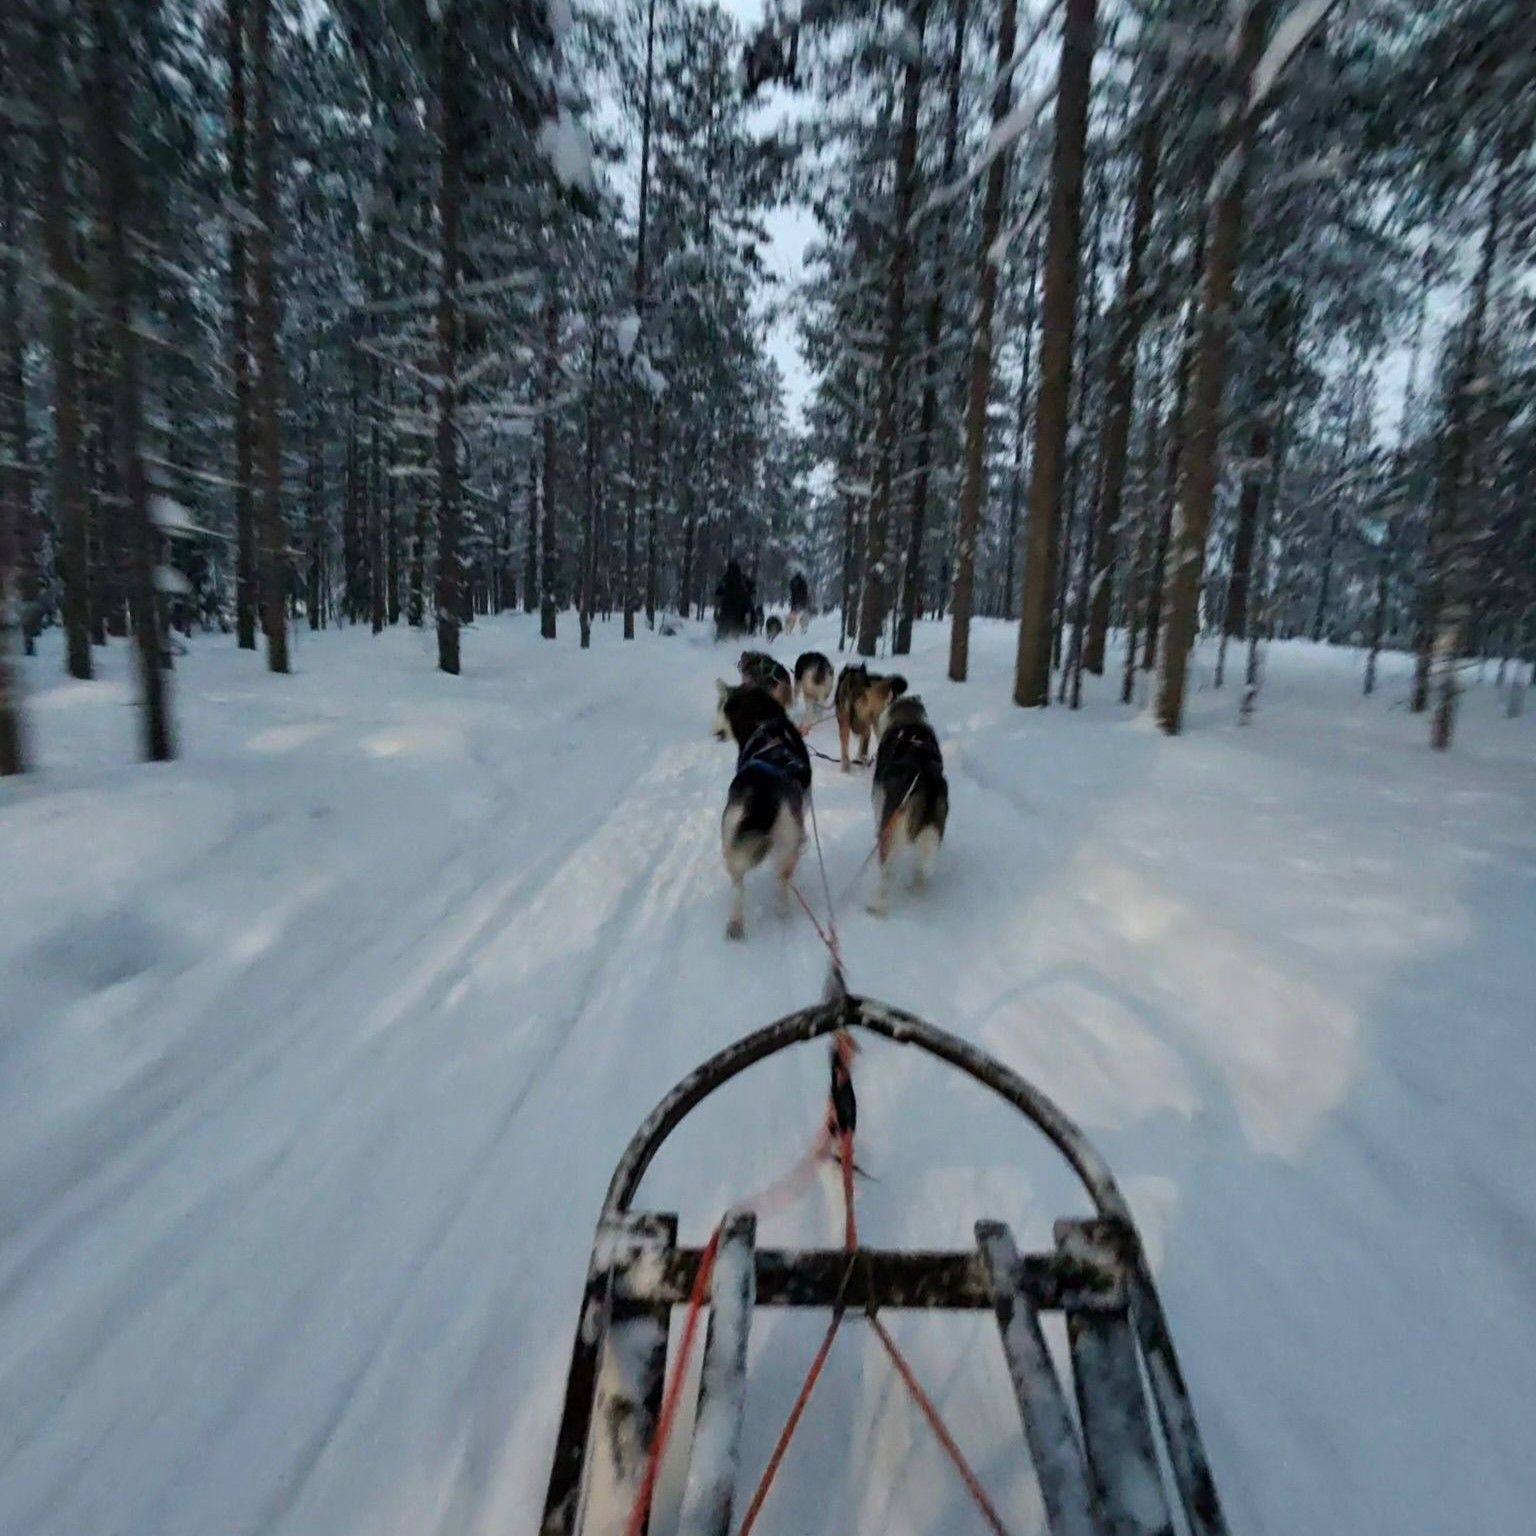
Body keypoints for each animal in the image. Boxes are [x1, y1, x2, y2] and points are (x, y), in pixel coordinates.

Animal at [715, 681, 817, 933]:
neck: (765, 721)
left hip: (733, 837)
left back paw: (736, 924)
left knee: (740, 884)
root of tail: (762, 792)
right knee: (781, 879)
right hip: (786, 841)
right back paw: (781, 912)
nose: (716, 733)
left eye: (722, 707)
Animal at [872, 694, 940, 909]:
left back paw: (878, 906)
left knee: (887, 872)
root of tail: (924, 778)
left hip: (890, 833)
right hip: (929, 833)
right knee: (922, 870)